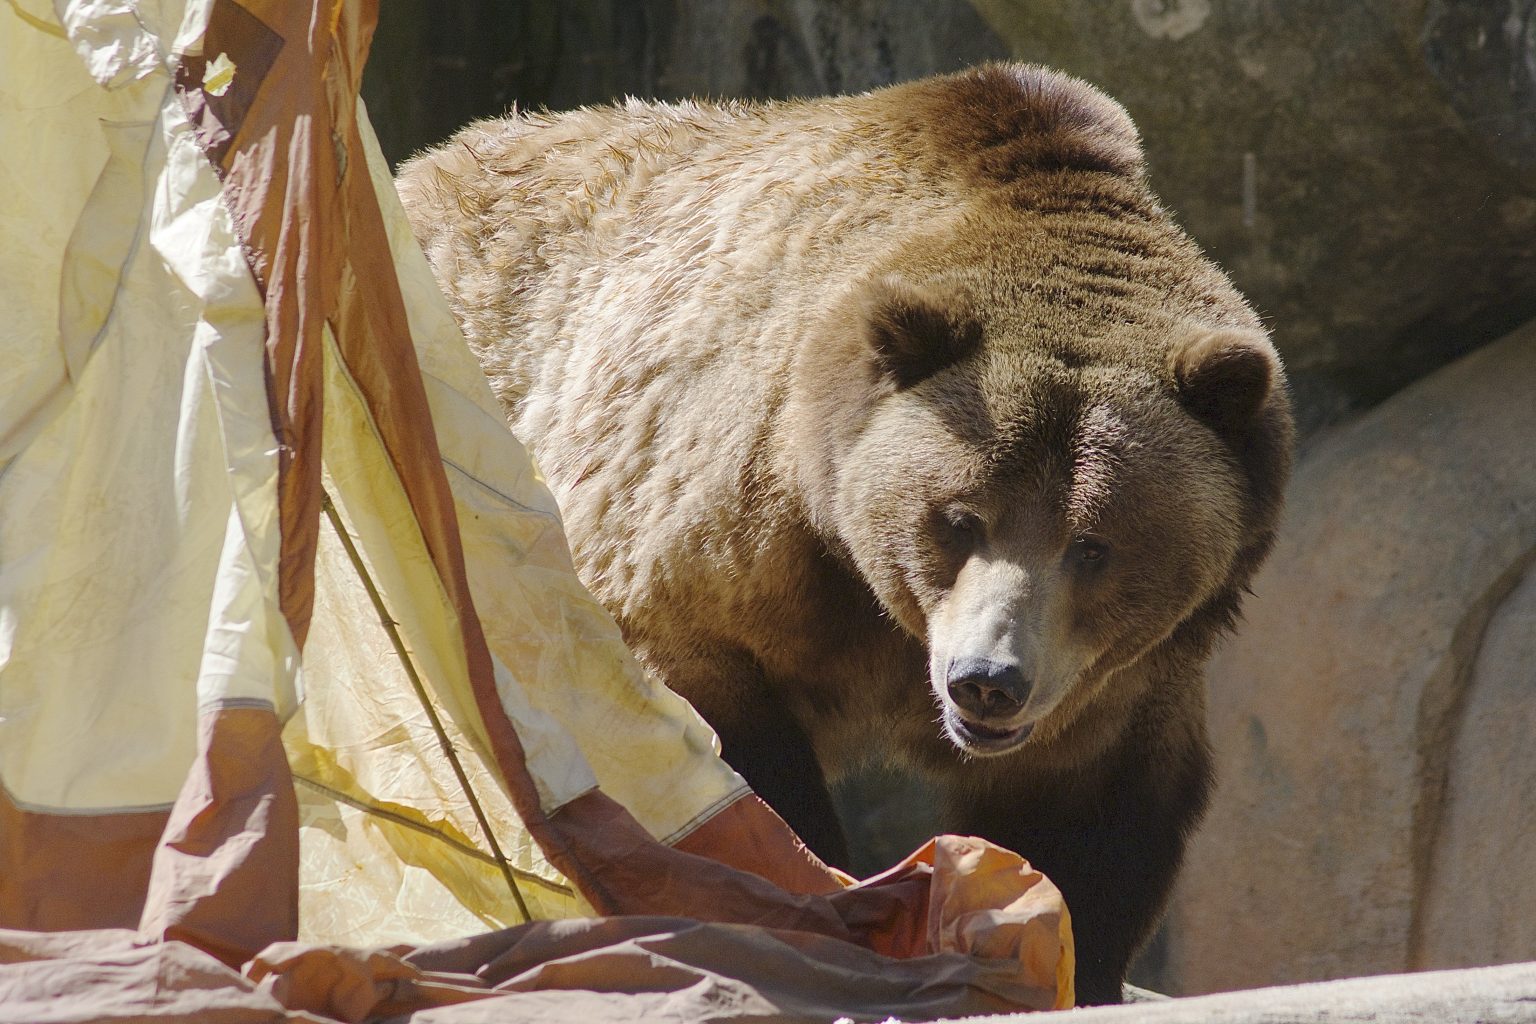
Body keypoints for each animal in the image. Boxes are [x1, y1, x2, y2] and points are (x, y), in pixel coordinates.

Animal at [396, 63, 1293, 1004]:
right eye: (960, 517)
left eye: (1094, 544)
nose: (988, 682)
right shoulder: (719, 535)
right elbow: (705, 741)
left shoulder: (1115, 685)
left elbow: (1089, 820)